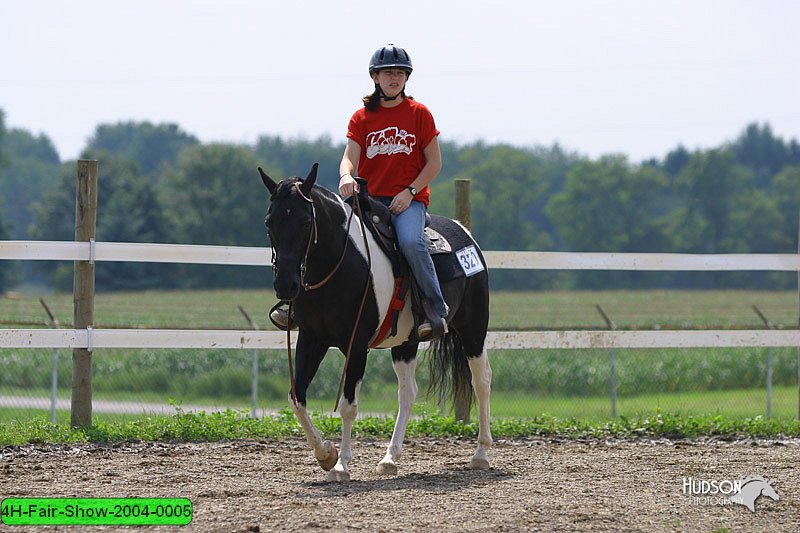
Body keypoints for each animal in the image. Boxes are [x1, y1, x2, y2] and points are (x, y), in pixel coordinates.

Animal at [260, 160, 490, 480]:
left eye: (306, 222)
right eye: (269, 222)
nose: (285, 285)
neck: (339, 264)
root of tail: (464, 232)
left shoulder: (356, 345)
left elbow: (348, 406)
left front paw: (341, 465)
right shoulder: (311, 338)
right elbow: (297, 397)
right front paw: (326, 455)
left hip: (473, 330)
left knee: (481, 381)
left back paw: (480, 454)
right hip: (406, 342)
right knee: (408, 393)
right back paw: (389, 458)